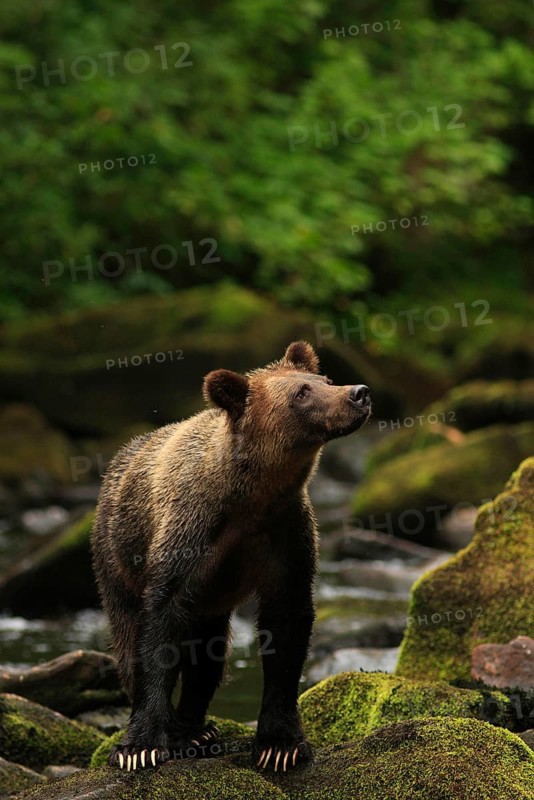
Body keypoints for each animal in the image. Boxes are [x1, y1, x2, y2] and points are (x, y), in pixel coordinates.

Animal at [91, 341, 371, 772]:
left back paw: (194, 728)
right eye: (301, 392)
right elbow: (157, 631)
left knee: (208, 655)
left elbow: (286, 628)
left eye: (325, 379)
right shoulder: (189, 535)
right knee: (127, 637)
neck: (251, 497)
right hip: (115, 558)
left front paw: (281, 744)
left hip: (211, 600)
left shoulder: (285, 535)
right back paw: (181, 729)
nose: (359, 393)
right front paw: (139, 747)